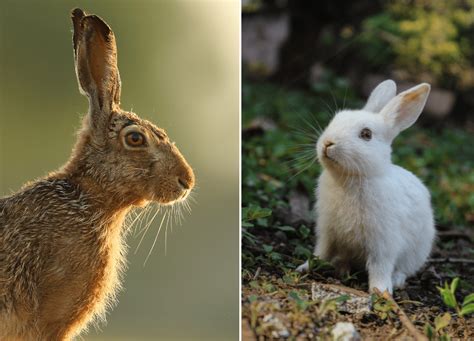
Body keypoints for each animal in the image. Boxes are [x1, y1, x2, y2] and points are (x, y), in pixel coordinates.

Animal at [298, 79, 436, 292]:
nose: (328, 143)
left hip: (416, 252)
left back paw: (396, 281)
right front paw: (304, 267)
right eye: (335, 120)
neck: (353, 177)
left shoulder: (383, 242)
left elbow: (380, 267)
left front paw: (381, 292)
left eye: (366, 134)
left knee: (403, 269)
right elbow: (321, 252)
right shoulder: (328, 231)